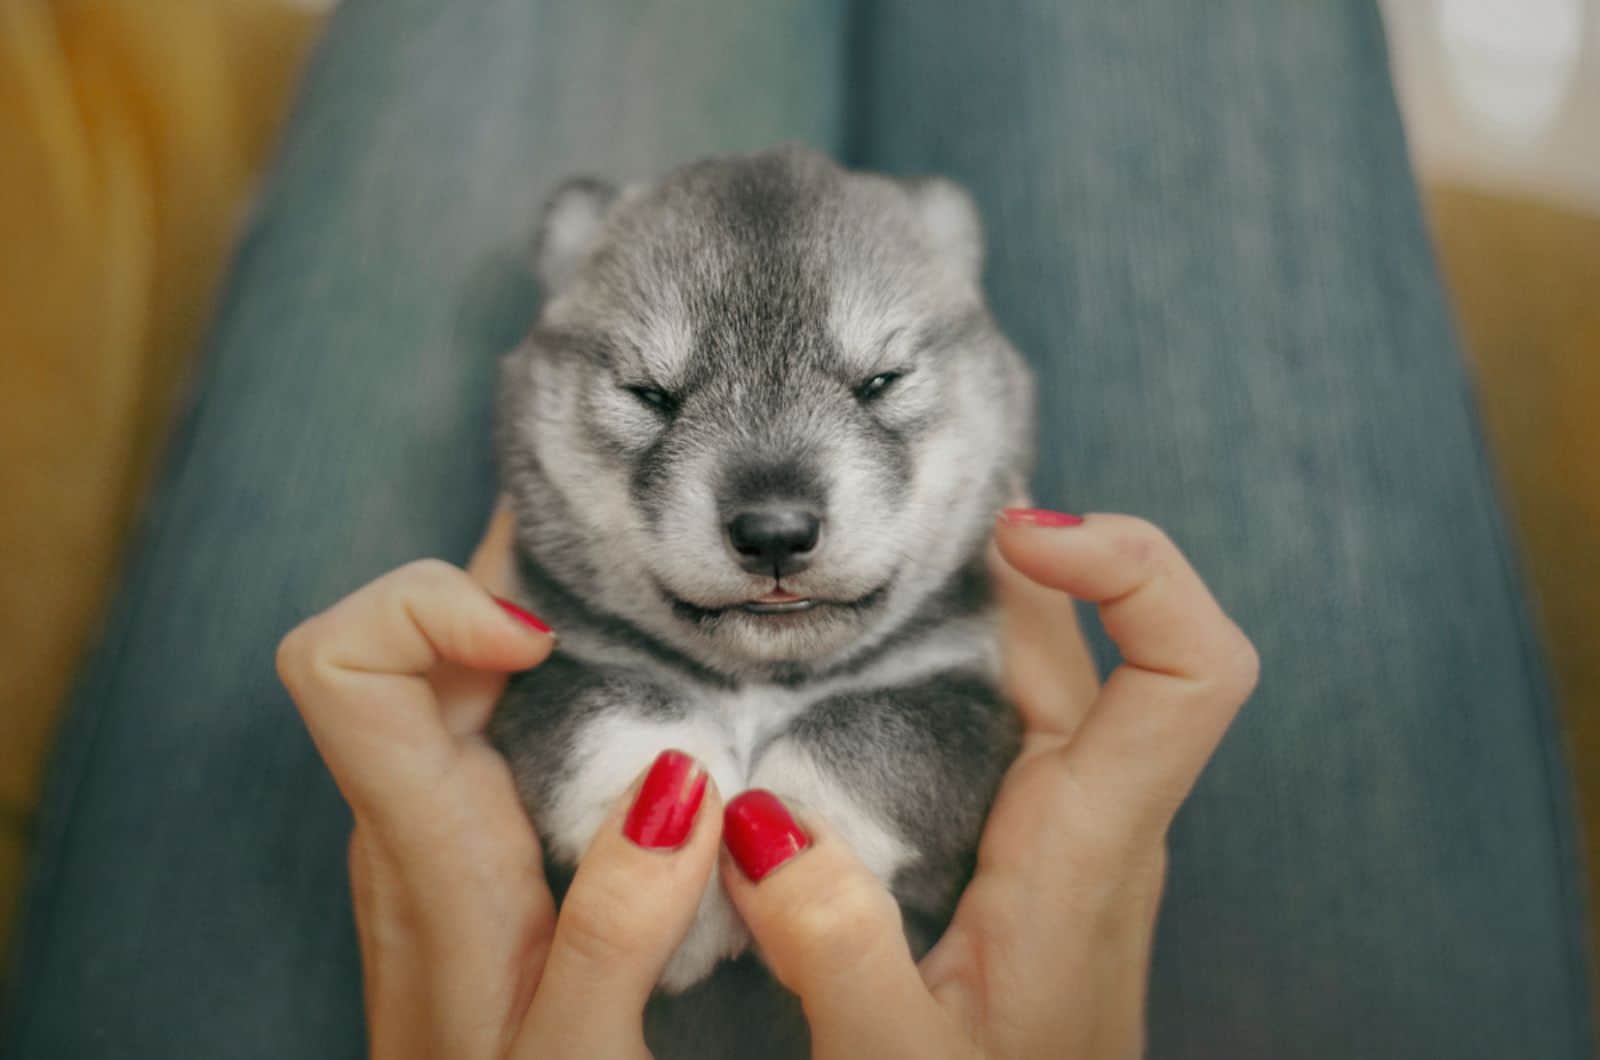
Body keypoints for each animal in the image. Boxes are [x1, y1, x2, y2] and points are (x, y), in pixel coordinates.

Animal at [489, 145, 1036, 1056]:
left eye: (880, 381)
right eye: (649, 395)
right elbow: (606, 711)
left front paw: (791, 823)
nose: (775, 531)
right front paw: (682, 871)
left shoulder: (971, 702)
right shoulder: (545, 670)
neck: (758, 679)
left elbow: (882, 731)